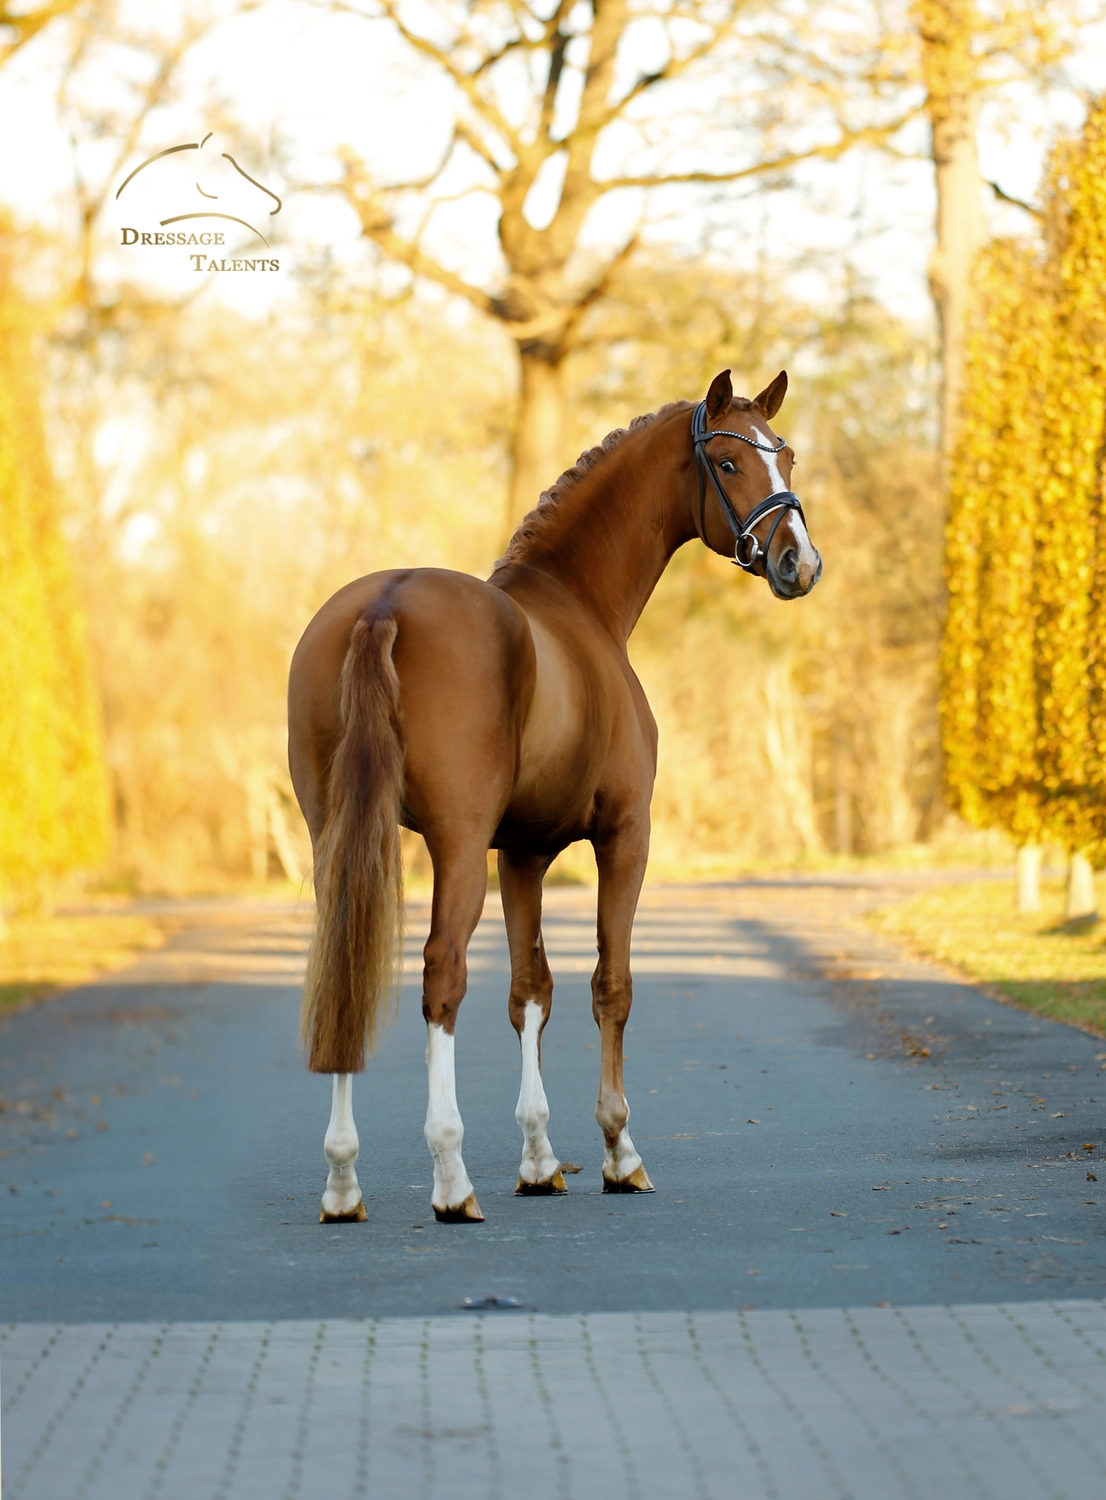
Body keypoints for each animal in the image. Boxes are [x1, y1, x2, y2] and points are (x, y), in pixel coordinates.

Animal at [287, 368, 821, 1224]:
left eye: (789, 456)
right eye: (731, 463)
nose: (798, 562)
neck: (576, 607)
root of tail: (383, 607)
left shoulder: (524, 852)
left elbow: (529, 991)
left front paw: (539, 1159)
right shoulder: (624, 835)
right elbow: (610, 985)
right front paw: (618, 1151)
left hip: (336, 839)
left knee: (344, 966)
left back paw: (342, 1182)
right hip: (457, 847)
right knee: (441, 974)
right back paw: (451, 1179)